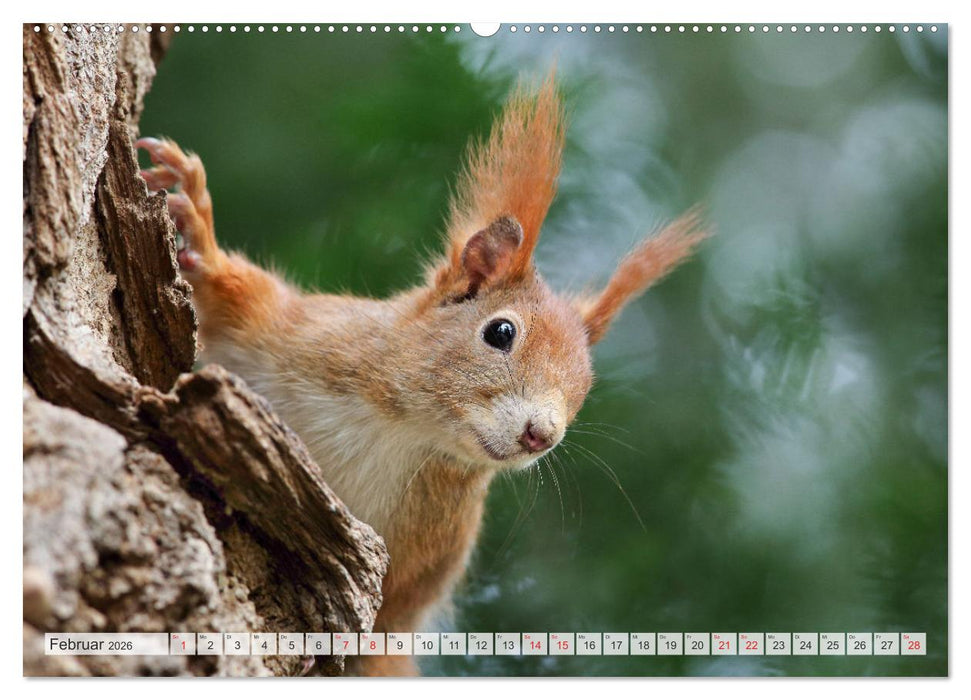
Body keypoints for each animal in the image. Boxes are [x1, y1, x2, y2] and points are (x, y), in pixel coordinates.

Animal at [136, 74, 706, 676]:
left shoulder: (425, 561)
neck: (406, 429)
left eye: (584, 389)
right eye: (500, 332)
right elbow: (230, 300)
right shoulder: (294, 332)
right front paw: (197, 221)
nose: (542, 435)